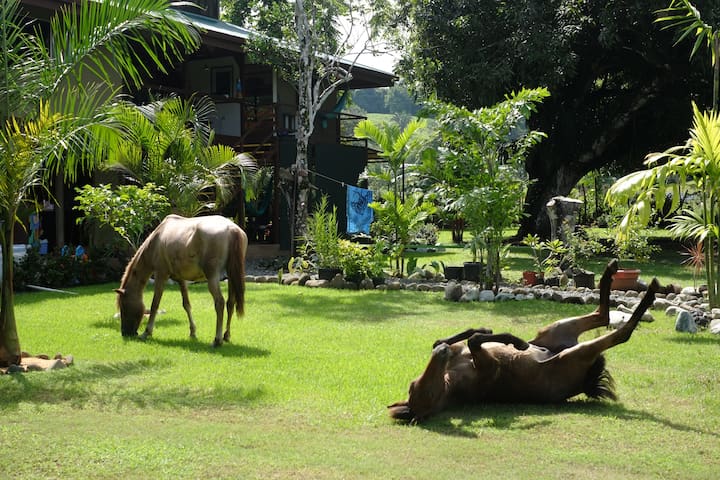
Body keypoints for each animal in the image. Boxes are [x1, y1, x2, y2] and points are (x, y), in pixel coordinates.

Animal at [116, 216, 249, 346]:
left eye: (124, 307)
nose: (125, 333)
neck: (157, 240)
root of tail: (232, 229)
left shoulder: (161, 275)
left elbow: (155, 305)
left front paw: (147, 332)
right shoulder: (181, 279)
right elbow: (186, 305)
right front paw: (193, 332)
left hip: (212, 277)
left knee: (220, 303)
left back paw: (217, 340)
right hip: (231, 275)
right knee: (230, 303)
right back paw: (226, 336)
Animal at [388, 258, 660, 424]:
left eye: (412, 385)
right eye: (421, 390)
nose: (442, 354)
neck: (451, 377)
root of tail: (587, 381)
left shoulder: (459, 349)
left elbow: (460, 336)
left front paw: (487, 330)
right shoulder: (490, 365)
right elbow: (475, 340)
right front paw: (516, 342)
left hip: (553, 329)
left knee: (602, 314)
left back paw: (615, 273)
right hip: (576, 353)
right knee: (619, 331)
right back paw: (649, 293)